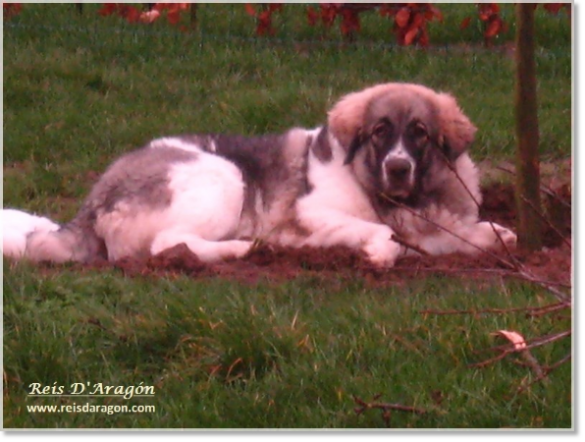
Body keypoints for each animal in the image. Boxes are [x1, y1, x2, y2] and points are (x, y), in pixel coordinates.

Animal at [3, 83, 516, 270]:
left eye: (420, 134)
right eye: (379, 132)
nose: (398, 166)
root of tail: (92, 201)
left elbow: (477, 234)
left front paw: (497, 233)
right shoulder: (313, 214)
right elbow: (383, 232)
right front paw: (379, 251)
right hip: (225, 177)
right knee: (167, 245)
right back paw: (242, 248)